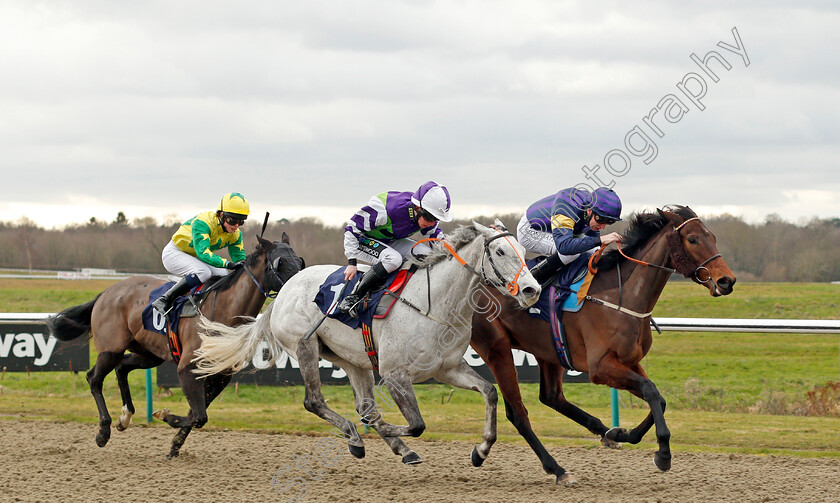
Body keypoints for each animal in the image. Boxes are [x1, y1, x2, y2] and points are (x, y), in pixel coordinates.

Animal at [46, 234, 302, 458]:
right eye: (280, 263)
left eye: (299, 260)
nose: (300, 287)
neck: (223, 312)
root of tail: (106, 292)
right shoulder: (187, 368)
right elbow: (199, 416)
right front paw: (164, 416)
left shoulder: (220, 374)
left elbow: (198, 413)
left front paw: (175, 444)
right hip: (111, 349)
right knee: (94, 378)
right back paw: (104, 431)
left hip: (149, 353)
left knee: (122, 368)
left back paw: (125, 417)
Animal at [194, 222, 540, 466]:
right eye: (500, 252)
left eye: (523, 252)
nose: (531, 290)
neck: (435, 304)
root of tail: (281, 294)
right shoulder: (395, 374)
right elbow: (416, 424)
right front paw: (386, 432)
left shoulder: (448, 368)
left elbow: (490, 392)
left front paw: (481, 450)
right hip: (305, 347)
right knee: (315, 402)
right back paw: (356, 437)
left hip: (352, 359)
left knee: (365, 405)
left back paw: (396, 447)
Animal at [472, 207, 736, 486]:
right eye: (693, 239)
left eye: (713, 237)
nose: (727, 280)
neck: (623, 296)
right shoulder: (601, 367)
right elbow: (651, 390)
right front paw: (663, 453)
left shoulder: (629, 360)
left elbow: (659, 398)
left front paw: (623, 434)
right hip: (496, 349)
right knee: (517, 413)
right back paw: (555, 468)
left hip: (549, 351)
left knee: (552, 397)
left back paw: (605, 432)